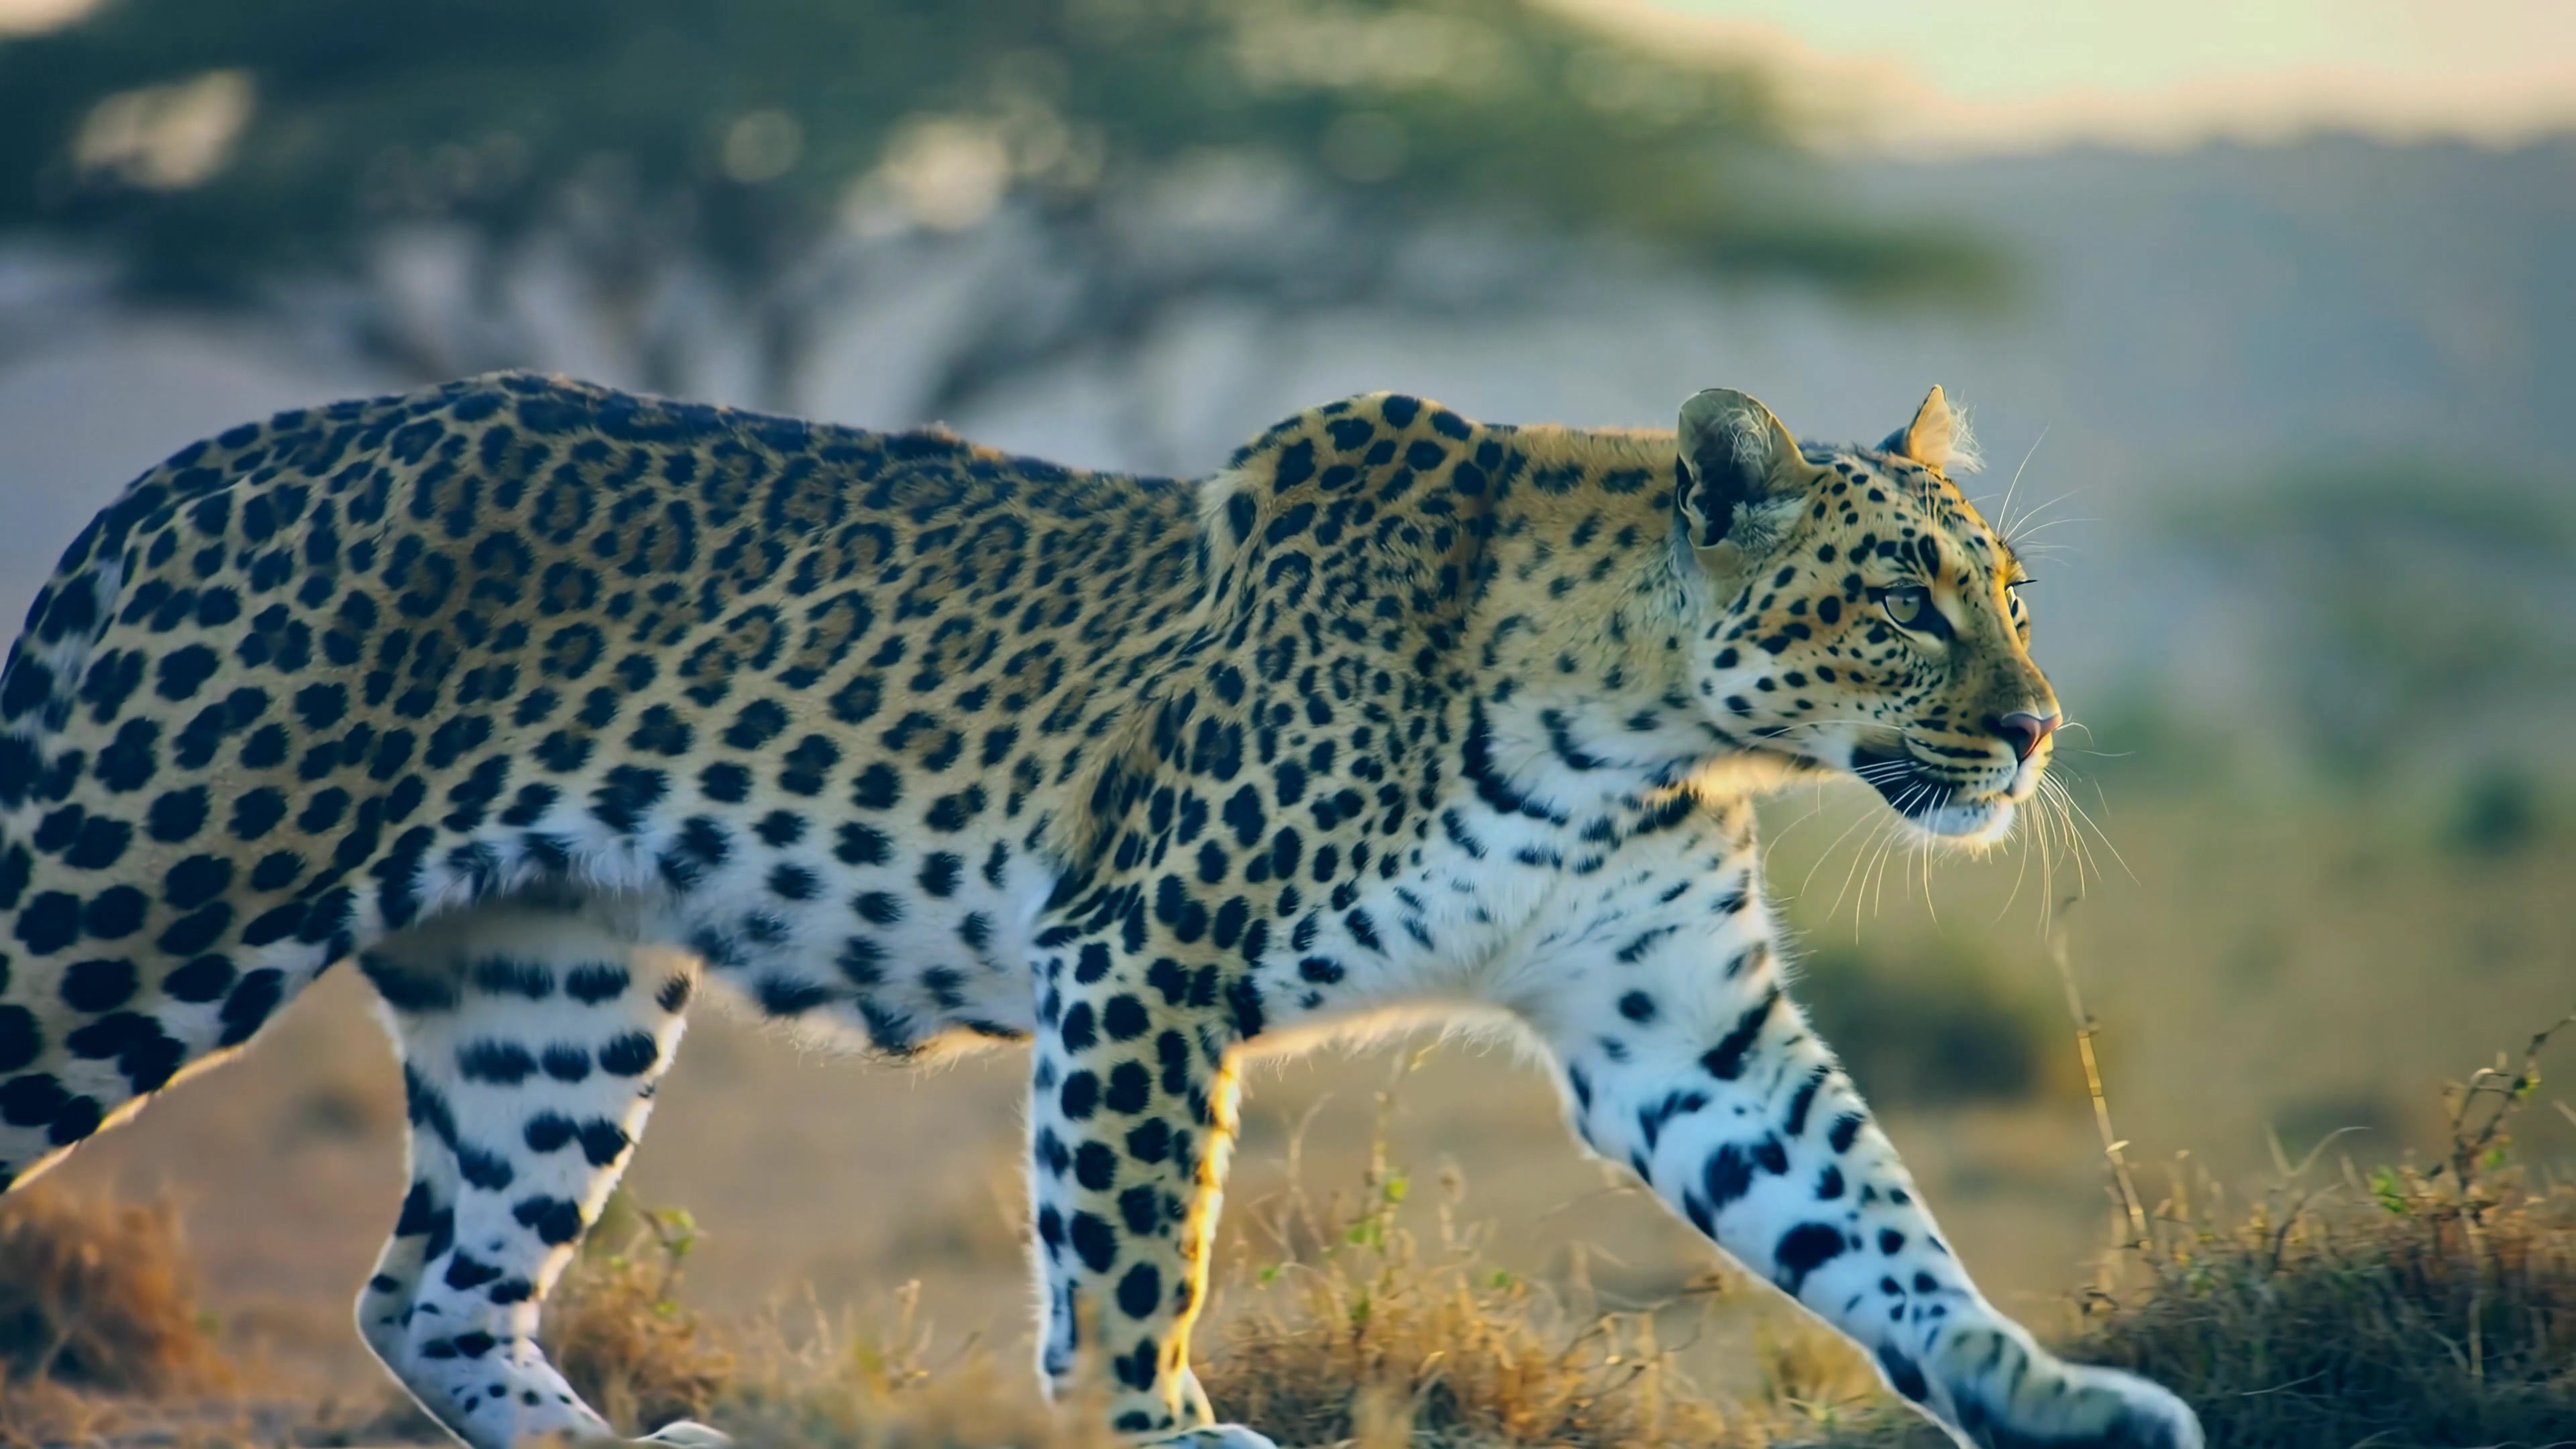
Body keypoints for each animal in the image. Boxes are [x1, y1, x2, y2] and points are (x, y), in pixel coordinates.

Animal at [0, 371, 2200, 1449]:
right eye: (1902, 595)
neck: (1643, 721)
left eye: (2006, 587)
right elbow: (1136, 1254)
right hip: (138, 890)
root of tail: (178, 476)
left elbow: (1874, 1228)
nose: (2035, 727)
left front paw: (2048, 1399)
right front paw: (1159, 1428)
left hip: (550, 986)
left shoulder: (1685, 1033)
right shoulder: (1146, 951)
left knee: (432, 1286)